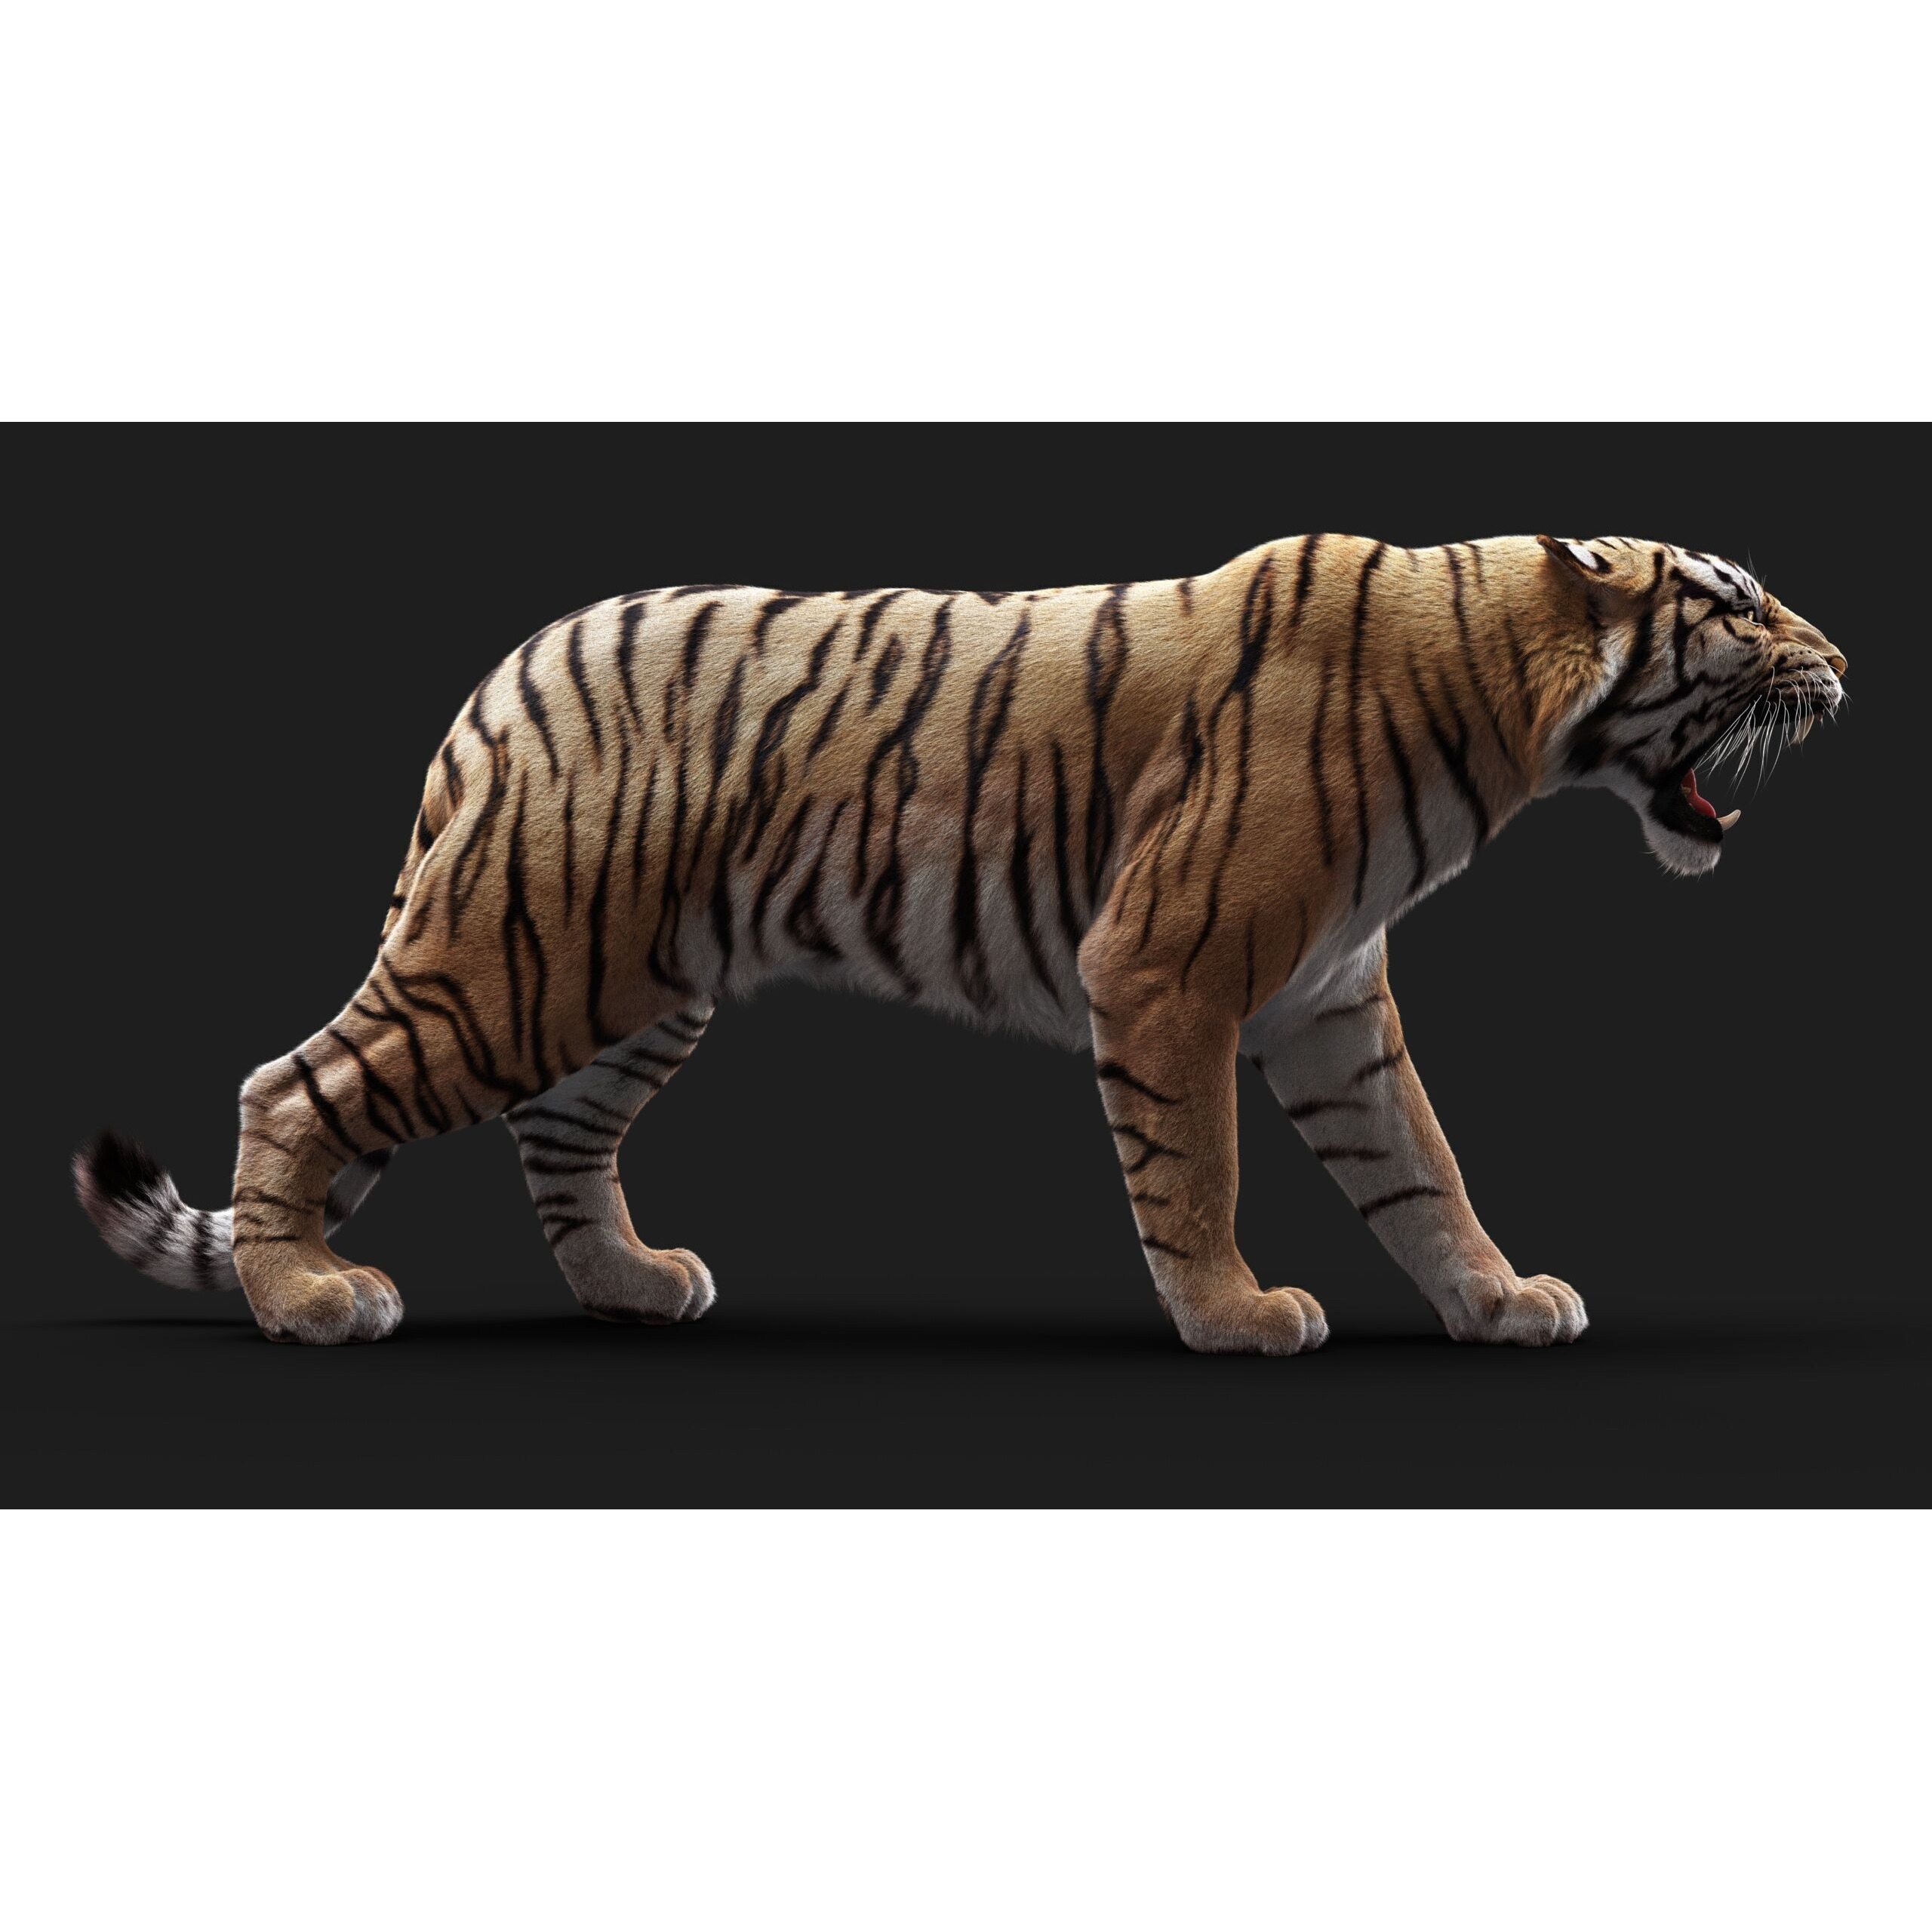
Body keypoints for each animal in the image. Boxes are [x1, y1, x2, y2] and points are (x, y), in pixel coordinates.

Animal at [73, 533, 1846, 1350]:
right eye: (1738, 606)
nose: (1839, 664)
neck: (1495, 706)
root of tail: (496, 682)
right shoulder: (1168, 968)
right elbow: (1195, 1166)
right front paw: (1234, 1313)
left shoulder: (1332, 1000)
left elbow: (1423, 1168)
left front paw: (1498, 1298)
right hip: (520, 957)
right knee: (295, 1085)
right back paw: (310, 1295)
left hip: (634, 987)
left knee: (558, 1145)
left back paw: (637, 1284)